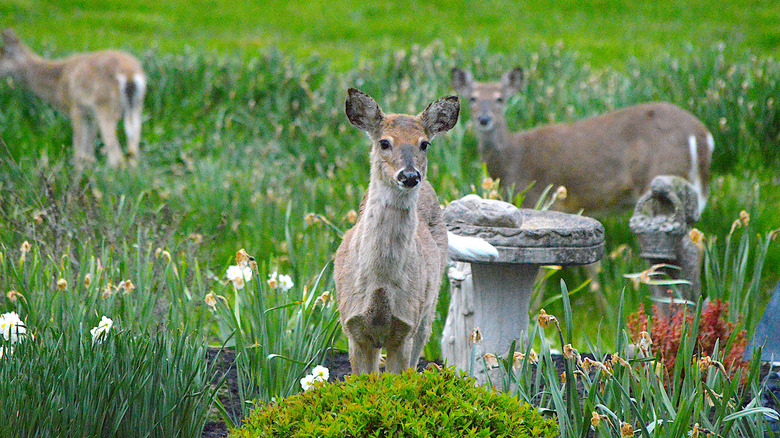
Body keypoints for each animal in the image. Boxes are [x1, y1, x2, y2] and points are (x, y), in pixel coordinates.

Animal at [0, 28, 146, 168]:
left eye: (1, 55)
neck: (60, 82)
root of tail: (130, 73)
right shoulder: (91, 116)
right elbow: (88, 153)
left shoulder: (76, 108)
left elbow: (78, 154)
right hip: (136, 107)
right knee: (133, 152)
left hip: (106, 107)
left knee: (116, 158)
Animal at [334, 88, 459, 374]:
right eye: (384, 142)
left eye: (424, 144)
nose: (410, 175)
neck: (380, 283)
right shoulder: (353, 327)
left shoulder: (405, 327)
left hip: (429, 307)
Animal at [451, 67, 714, 217]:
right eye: (472, 98)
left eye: (500, 98)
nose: (484, 119)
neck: (511, 160)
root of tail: (701, 135)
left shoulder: (540, 199)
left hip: (661, 175)